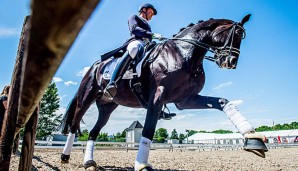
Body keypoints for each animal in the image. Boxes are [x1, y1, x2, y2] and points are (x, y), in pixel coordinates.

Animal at [59, 14, 266, 170]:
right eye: (236, 34)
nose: (231, 63)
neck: (184, 52)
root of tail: (95, 66)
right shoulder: (158, 95)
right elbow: (148, 129)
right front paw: (141, 165)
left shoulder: (185, 100)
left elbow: (223, 102)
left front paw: (254, 140)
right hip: (86, 98)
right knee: (74, 124)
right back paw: (65, 156)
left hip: (107, 107)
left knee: (93, 132)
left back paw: (89, 162)